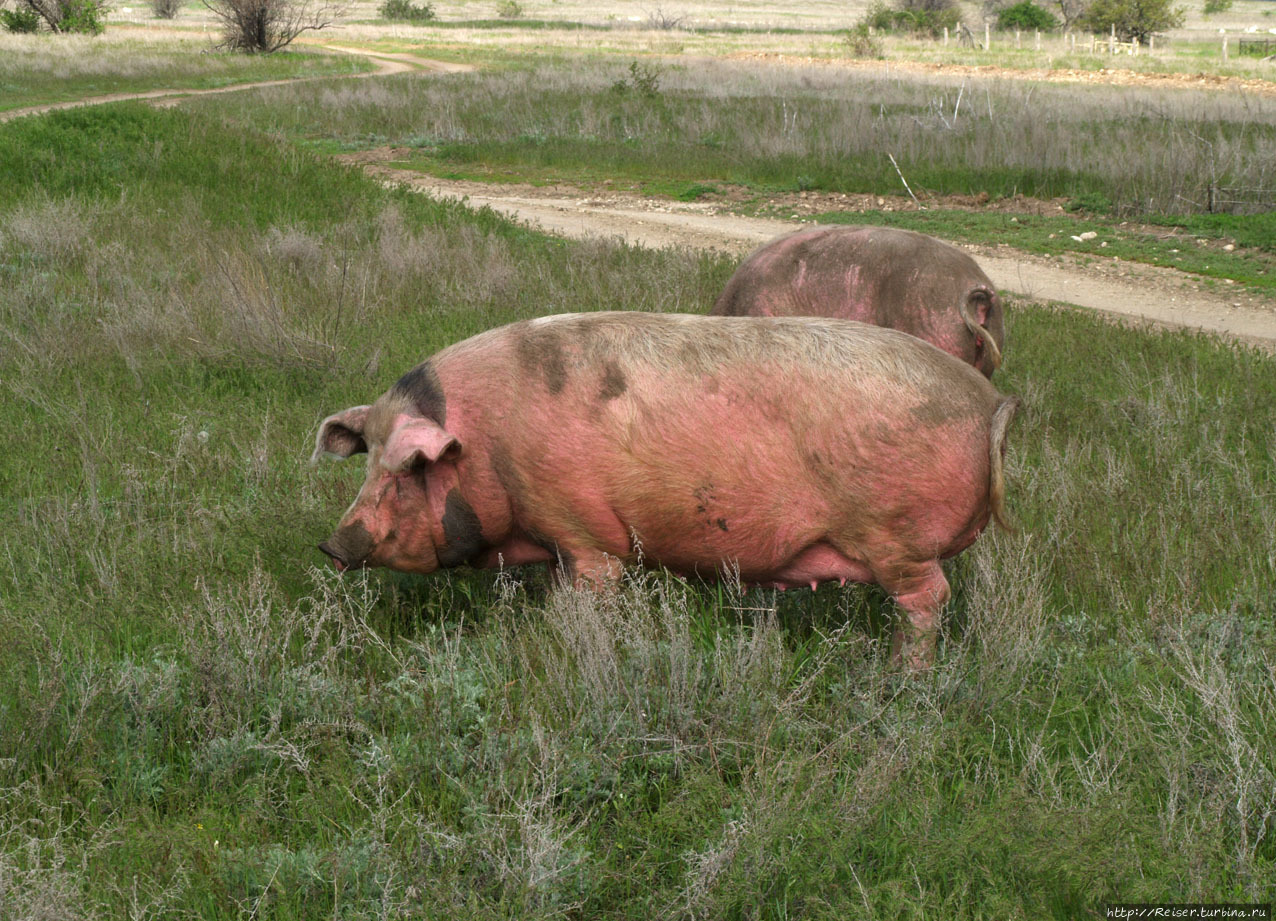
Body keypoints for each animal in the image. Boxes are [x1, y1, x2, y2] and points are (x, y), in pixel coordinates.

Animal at [316, 312, 1015, 663]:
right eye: (369, 460)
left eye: (408, 469)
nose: (331, 545)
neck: (490, 442)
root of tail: (988, 403)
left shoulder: (588, 532)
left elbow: (591, 590)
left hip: (897, 535)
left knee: (927, 599)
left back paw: (903, 678)